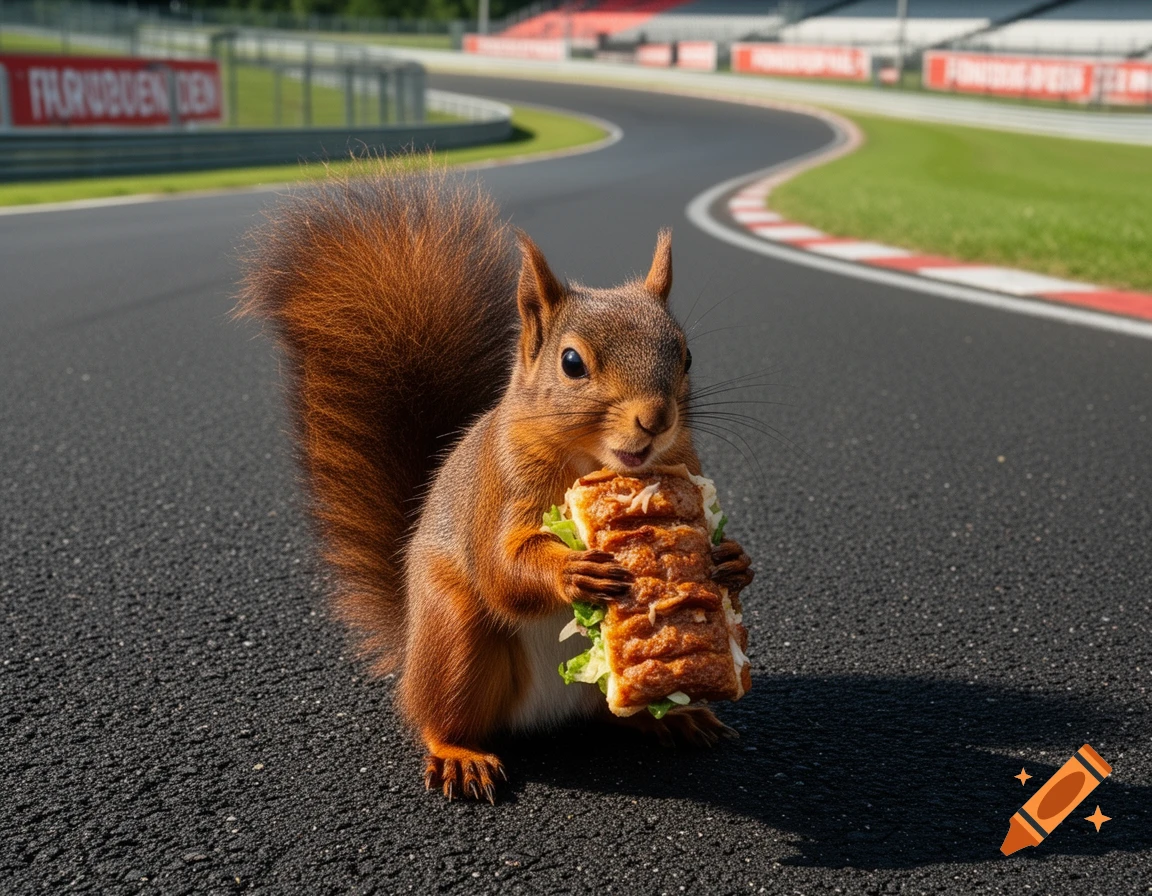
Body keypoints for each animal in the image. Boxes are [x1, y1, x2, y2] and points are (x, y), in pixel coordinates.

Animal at [237, 169, 753, 803]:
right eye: (572, 362)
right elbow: (500, 568)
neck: (591, 462)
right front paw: (571, 570)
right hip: (455, 637)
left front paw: (732, 561)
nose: (656, 420)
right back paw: (458, 753)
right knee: (436, 714)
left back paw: (677, 718)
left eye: (686, 355)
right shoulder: (502, 483)